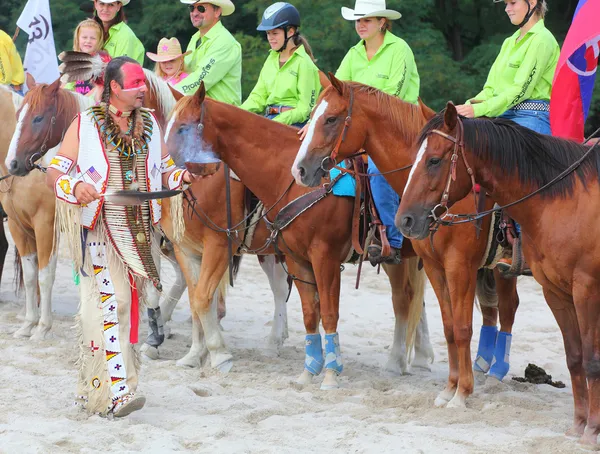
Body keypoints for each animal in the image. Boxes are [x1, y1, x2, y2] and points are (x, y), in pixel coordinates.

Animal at [165, 83, 432, 388]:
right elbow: (308, 312)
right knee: (408, 300)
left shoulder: (322, 257)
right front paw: (308, 371)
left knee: (404, 301)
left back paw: (399, 361)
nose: (165, 167)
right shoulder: (293, 257)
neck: (290, 180)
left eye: (183, 128)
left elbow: (328, 312)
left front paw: (330, 374)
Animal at [290, 76, 520, 406]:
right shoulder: (436, 266)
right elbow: (450, 327)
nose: (300, 170)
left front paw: (462, 393)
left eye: (331, 119)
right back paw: (481, 365)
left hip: (502, 268)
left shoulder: (459, 266)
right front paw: (450, 389)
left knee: (508, 307)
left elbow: (463, 326)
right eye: (311, 116)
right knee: (487, 309)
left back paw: (496, 370)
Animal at [398, 103, 600, 446]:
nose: (405, 220)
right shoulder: (556, 293)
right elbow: (574, 357)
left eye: (434, 160)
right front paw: (577, 426)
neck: (564, 200)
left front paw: (592, 431)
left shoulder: (586, 291)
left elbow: (591, 359)